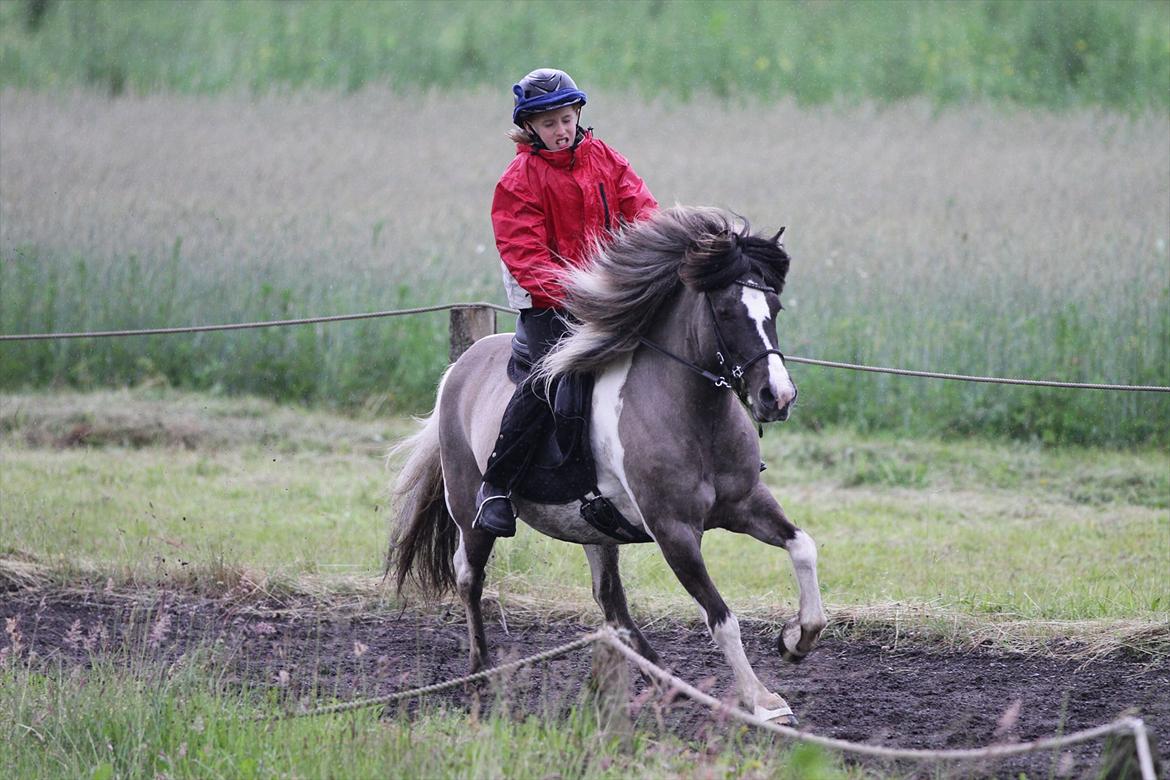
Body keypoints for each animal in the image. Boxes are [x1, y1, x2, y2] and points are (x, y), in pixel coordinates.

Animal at [393, 204, 833, 725]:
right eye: (725, 311)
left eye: (776, 310)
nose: (777, 397)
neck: (692, 415)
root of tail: (458, 369)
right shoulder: (674, 531)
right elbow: (721, 618)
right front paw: (761, 700)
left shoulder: (746, 504)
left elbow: (803, 547)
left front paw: (795, 640)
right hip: (470, 510)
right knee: (469, 577)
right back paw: (480, 676)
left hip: (596, 531)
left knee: (611, 605)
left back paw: (668, 683)